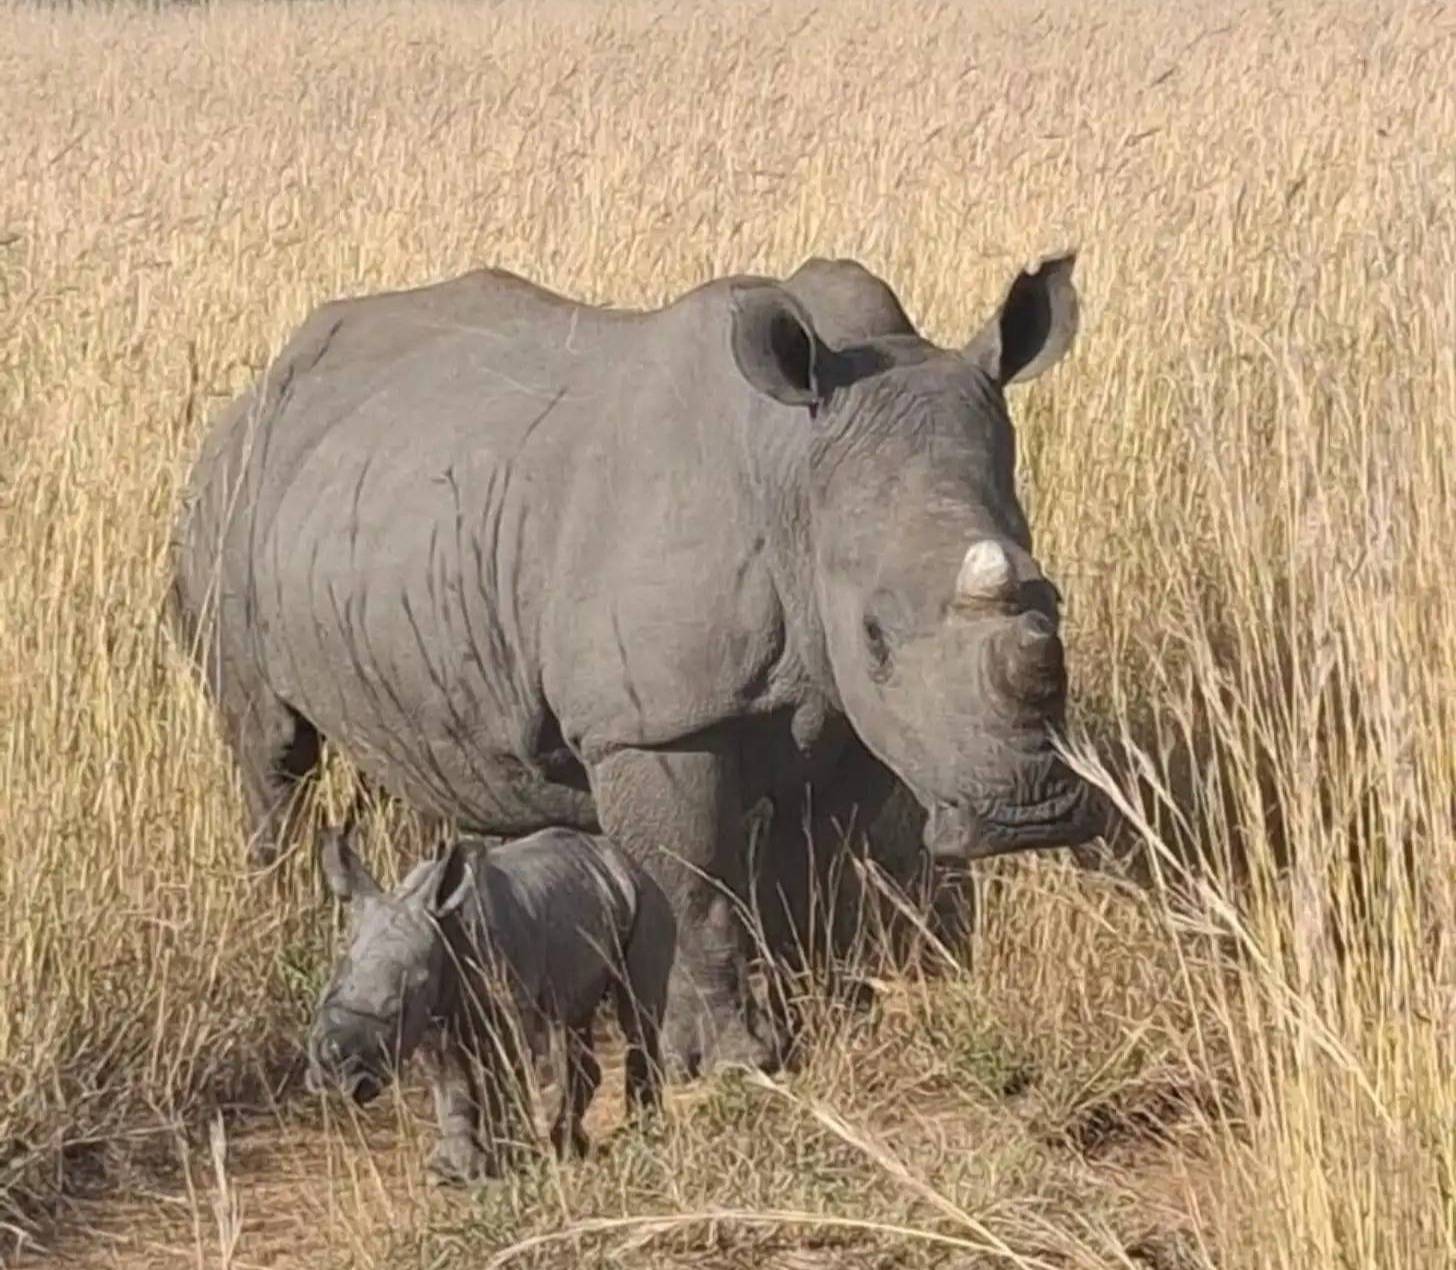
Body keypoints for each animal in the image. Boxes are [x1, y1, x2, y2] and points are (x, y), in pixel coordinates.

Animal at [169, 250, 1108, 1076]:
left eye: (1054, 601)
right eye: (874, 634)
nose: (1029, 815)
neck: (794, 476)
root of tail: (251, 393)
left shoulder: (852, 713)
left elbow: (810, 867)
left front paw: (815, 1006)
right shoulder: (649, 723)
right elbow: (691, 882)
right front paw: (729, 1063)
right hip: (228, 498)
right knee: (270, 748)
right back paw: (277, 919)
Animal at [306, 825, 674, 1181]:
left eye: (394, 1011)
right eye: (326, 994)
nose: (334, 1077)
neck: (444, 928)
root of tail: (623, 860)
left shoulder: (498, 1007)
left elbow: (503, 1080)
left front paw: (510, 1164)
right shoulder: (430, 1017)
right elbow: (450, 1084)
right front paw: (450, 1171)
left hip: (647, 896)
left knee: (636, 1017)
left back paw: (642, 1134)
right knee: (571, 1020)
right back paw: (571, 1145)